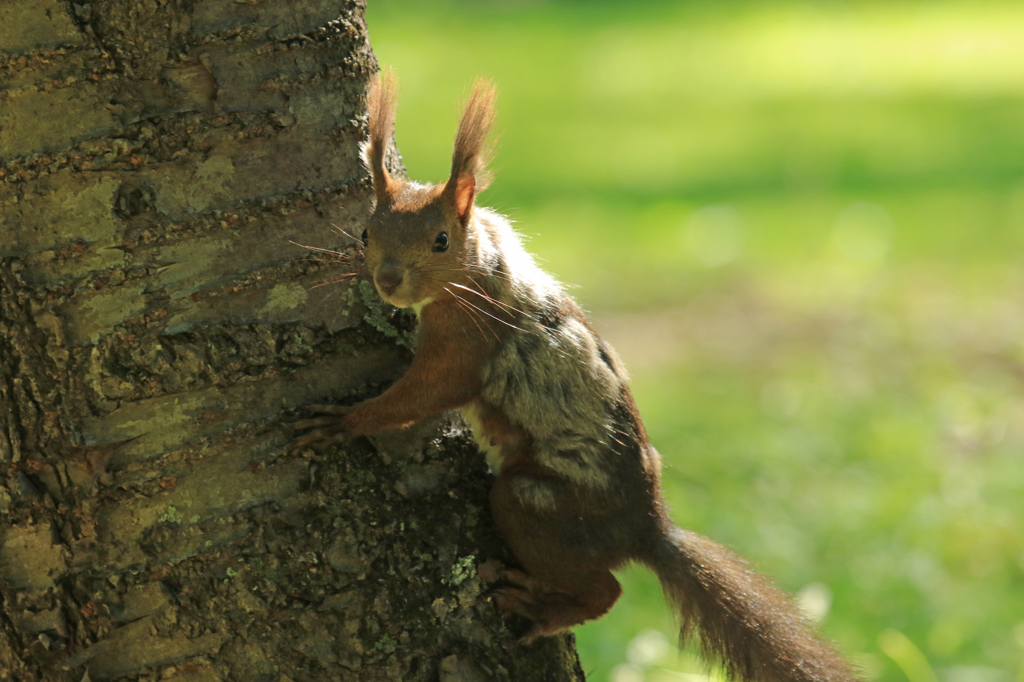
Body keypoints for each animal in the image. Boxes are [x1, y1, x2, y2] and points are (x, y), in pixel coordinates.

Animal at [301, 70, 856, 682]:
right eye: (365, 234)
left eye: (441, 240)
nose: (388, 281)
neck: (482, 265)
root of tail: (646, 528)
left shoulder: (466, 340)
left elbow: (427, 393)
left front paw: (346, 421)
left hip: (539, 506)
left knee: (604, 588)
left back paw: (543, 607)